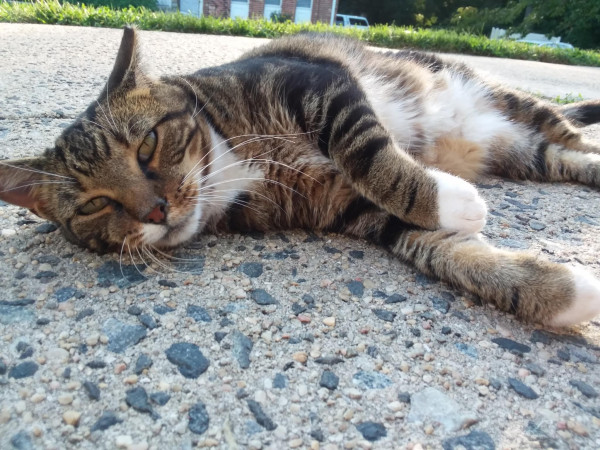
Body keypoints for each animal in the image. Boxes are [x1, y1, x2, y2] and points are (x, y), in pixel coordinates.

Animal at [1, 28, 600, 326]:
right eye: (93, 205)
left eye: (147, 144)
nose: (155, 211)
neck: (229, 163)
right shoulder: (347, 207)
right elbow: (439, 248)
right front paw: (562, 293)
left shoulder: (317, 83)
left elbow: (370, 155)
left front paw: (449, 196)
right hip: (522, 152)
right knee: (560, 158)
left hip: (509, 102)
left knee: (569, 131)